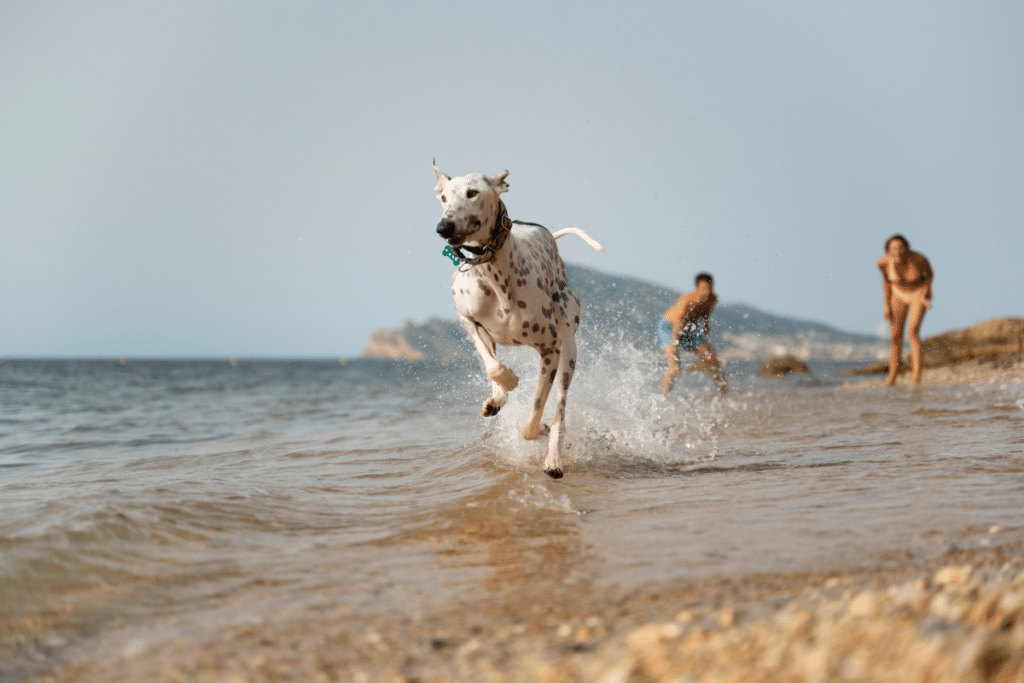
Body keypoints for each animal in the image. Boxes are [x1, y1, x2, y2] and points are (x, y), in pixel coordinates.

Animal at [430, 160, 598, 481]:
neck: (493, 272)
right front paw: (507, 382)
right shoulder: (468, 320)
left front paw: (541, 428)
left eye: (472, 193)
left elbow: (533, 422)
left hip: (569, 351)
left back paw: (554, 457)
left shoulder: (551, 350)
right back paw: (497, 398)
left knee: (560, 411)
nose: (443, 227)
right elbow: (493, 367)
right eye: (444, 198)